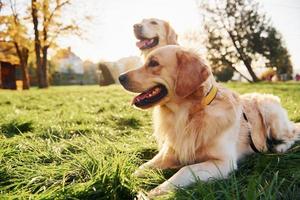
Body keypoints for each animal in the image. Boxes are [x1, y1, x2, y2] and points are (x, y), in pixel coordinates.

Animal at [118, 45, 300, 198]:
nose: (120, 77)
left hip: (269, 110)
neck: (188, 115)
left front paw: (153, 192)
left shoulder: (223, 162)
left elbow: (185, 170)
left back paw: (278, 146)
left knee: (292, 134)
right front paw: (125, 180)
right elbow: (141, 168)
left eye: (154, 63)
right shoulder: (167, 154)